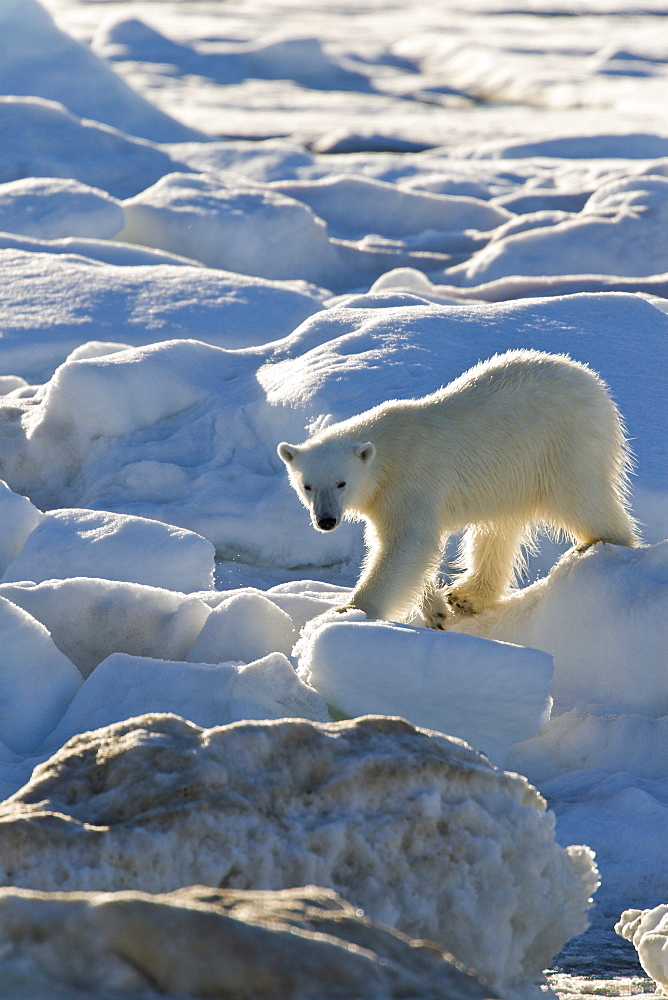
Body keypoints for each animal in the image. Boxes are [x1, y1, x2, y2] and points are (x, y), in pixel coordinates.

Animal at [276, 350, 636, 624]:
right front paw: (435, 609)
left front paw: (350, 610)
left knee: (581, 498)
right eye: (307, 486)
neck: (386, 452)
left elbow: (409, 543)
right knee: (498, 531)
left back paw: (601, 545)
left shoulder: (409, 481)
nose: (326, 521)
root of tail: (593, 382)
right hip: (509, 478)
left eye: (341, 482)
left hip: (564, 444)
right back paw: (466, 596)